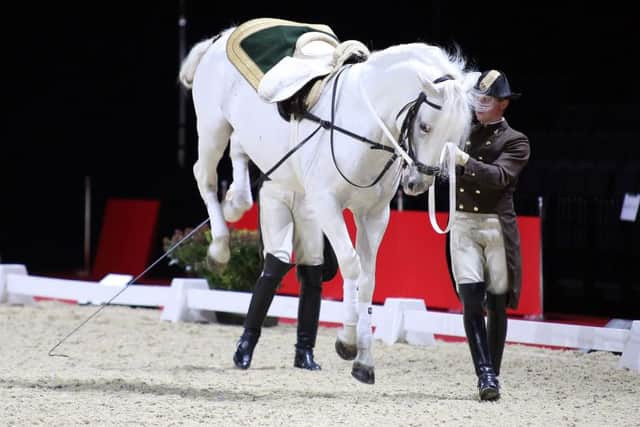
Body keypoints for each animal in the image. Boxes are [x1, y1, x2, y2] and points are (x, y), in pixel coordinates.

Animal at [178, 26, 478, 384]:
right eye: (425, 126)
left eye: (457, 137)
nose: (418, 183)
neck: (364, 126)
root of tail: (223, 36)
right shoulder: (326, 204)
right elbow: (350, 264)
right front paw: (346, 343)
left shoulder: (374, 216)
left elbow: (368, 281)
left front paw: (364, 362)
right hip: (212, 128)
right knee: (204, 176)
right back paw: (220, 248)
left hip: (245, 135)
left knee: (240, 151)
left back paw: (237, 202)